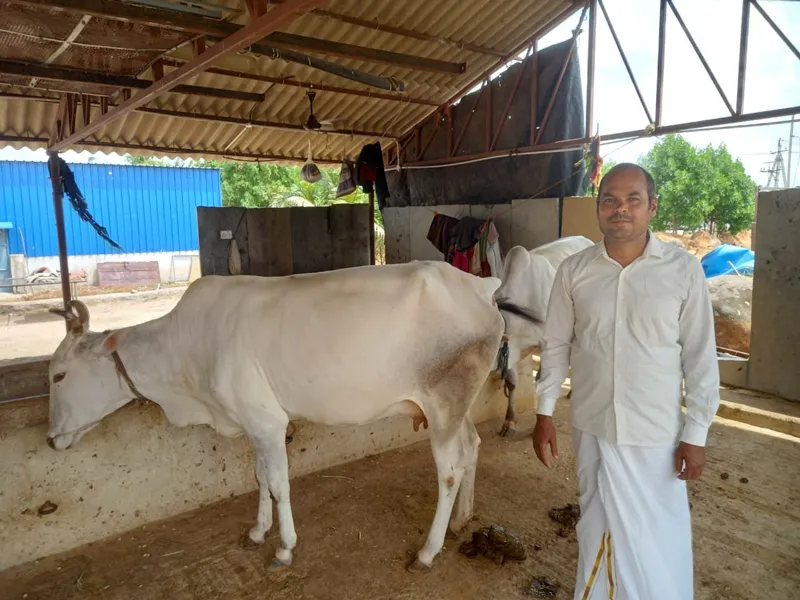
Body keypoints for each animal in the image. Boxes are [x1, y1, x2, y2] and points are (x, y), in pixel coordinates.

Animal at [42, 262, 532, 572]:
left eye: (59, 374)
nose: (49, 439)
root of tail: (482, 286)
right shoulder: (253, 424)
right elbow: (261, 478)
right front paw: (258, 532)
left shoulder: (268, 423)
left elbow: (279, 484)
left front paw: (284, 548)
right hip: (454, 407)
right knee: (472, 448)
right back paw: (462, 519)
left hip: (444, 403)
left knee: (449, 470)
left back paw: (429, 551)